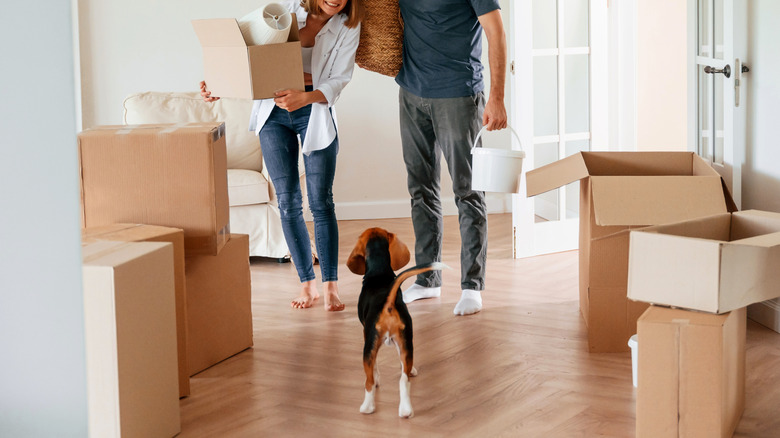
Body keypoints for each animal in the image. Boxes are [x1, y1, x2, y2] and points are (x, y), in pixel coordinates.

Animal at [348, 228, 444, 420]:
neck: (379, 272)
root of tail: (388, 304)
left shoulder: (367, 337)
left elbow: (375, 369)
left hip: (369, 347)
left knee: (369, 381)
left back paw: (367, 407)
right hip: (406, 341)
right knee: (403, 380)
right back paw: (406, 410)